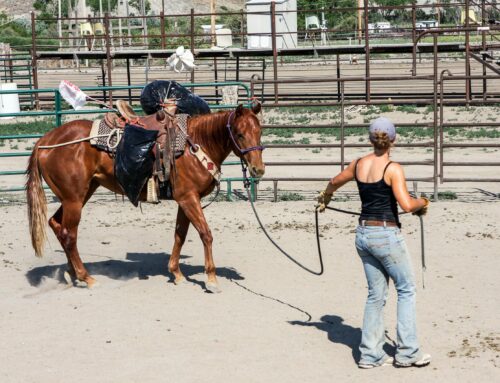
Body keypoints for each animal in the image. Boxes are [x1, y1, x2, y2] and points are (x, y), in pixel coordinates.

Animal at [26, 103, 266, 292]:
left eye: (259, 131)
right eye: (240, 134)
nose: (258, 169)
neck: (197, 143)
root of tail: (45, 140)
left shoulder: (184, 200)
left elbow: (180, 235)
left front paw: (176, 273)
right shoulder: (189, 198)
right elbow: (205, 234)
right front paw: (211, 279)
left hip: (78, 195)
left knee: (56, 224)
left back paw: (72, 273)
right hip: (74, 199)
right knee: (69, 234)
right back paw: (87, 278)